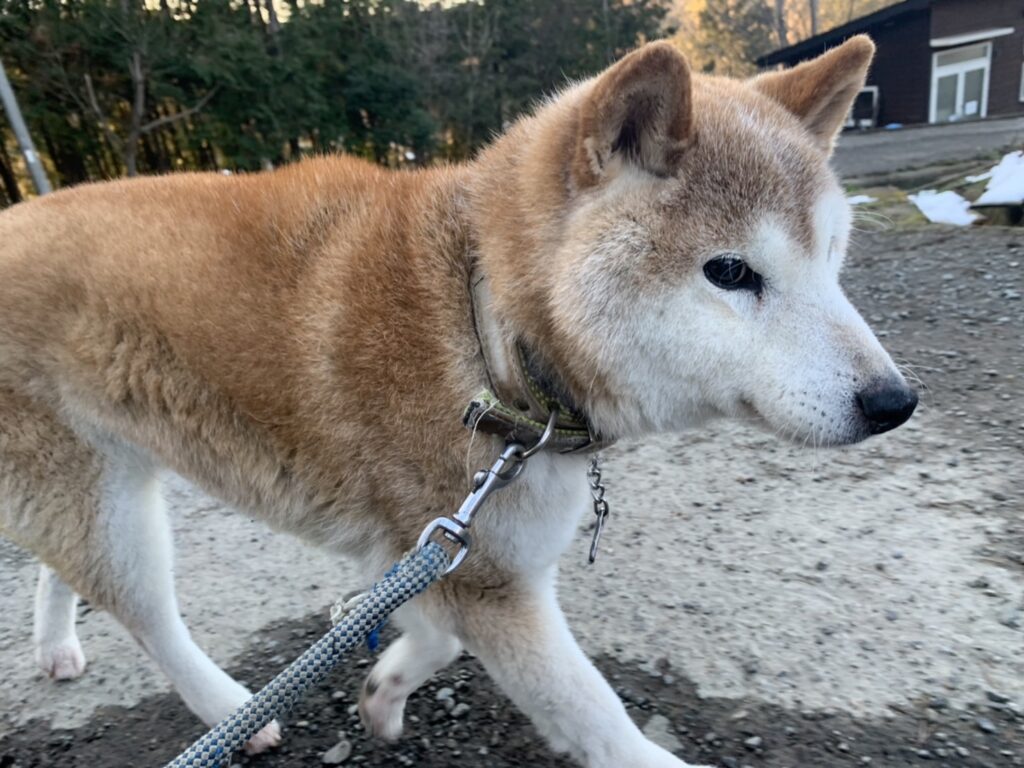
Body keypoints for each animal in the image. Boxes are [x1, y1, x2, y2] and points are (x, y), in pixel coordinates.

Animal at [0, 35, 916, 767]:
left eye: (834, 256)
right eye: (730, 272)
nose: (895, 401)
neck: (489, 330)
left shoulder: (441, 549)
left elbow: (431, 634)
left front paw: (386, 685)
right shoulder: (487, 577)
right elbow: (595, 715)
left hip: (100, 477)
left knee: (61, 567)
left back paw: (56, 646)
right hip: (108, 507)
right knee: (147, 615)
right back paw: (232, 712)